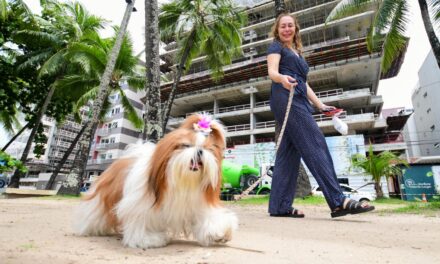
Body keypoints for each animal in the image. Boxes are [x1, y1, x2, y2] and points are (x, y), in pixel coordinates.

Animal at [73, 114, 237, 249]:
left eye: (207, 149)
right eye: (186, 145)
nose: (200, 151)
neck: (182, 181)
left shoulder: (198, 203)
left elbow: (207, 218)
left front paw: (219, 233)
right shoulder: (139, 205)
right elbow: (140, 221)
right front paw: (148, 239)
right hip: (102, 198)